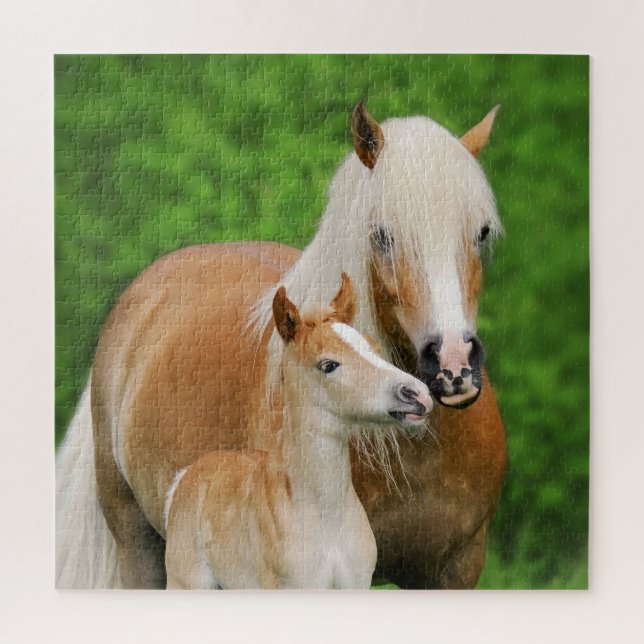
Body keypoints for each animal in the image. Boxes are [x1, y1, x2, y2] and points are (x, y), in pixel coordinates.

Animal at [164, 275, 432, 589]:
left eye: (374, 347)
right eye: (328, 364)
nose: (418, 394)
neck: (326, 519)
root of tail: (187, 475)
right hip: (187, 582)